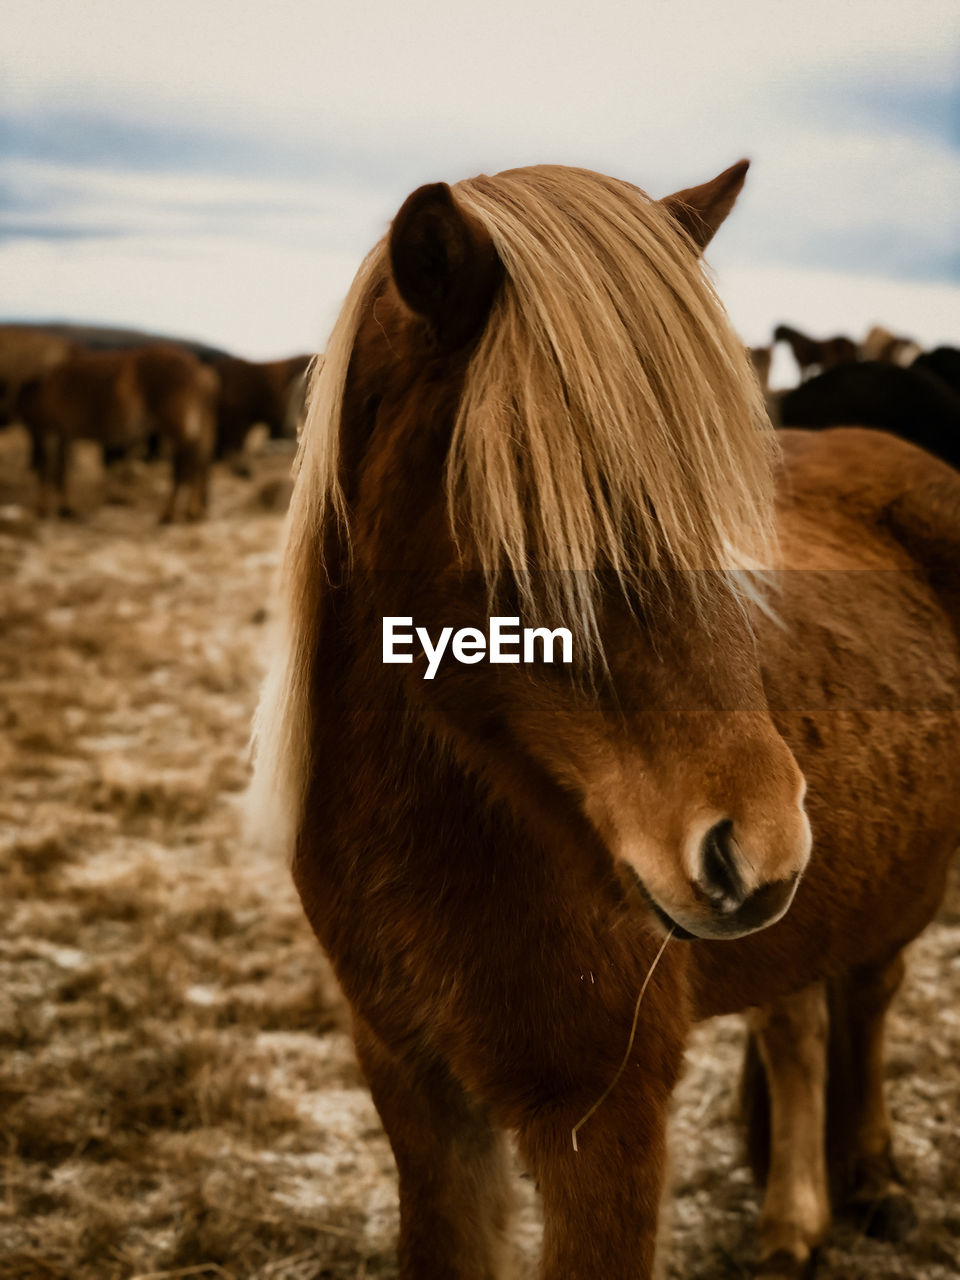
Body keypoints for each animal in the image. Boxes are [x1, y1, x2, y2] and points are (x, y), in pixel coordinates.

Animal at [15, 343, 217, 522]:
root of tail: (199, 373)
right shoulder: (64, 434)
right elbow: (60, 470)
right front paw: (64, 508)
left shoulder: (48, 431)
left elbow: (48, 469)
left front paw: (44, 508)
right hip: (195, 429)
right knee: (199, 463)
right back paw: (192, 511)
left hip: (179, 430)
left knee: (183, 468)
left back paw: (168, 514)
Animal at [252, 162, 960, 1280]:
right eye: (530, 504)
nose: (760, 846)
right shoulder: (415, 1088)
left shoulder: (602, 1121)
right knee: (799, 1014)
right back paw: (796, 1215)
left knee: (869, 991)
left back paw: (872, 1175)